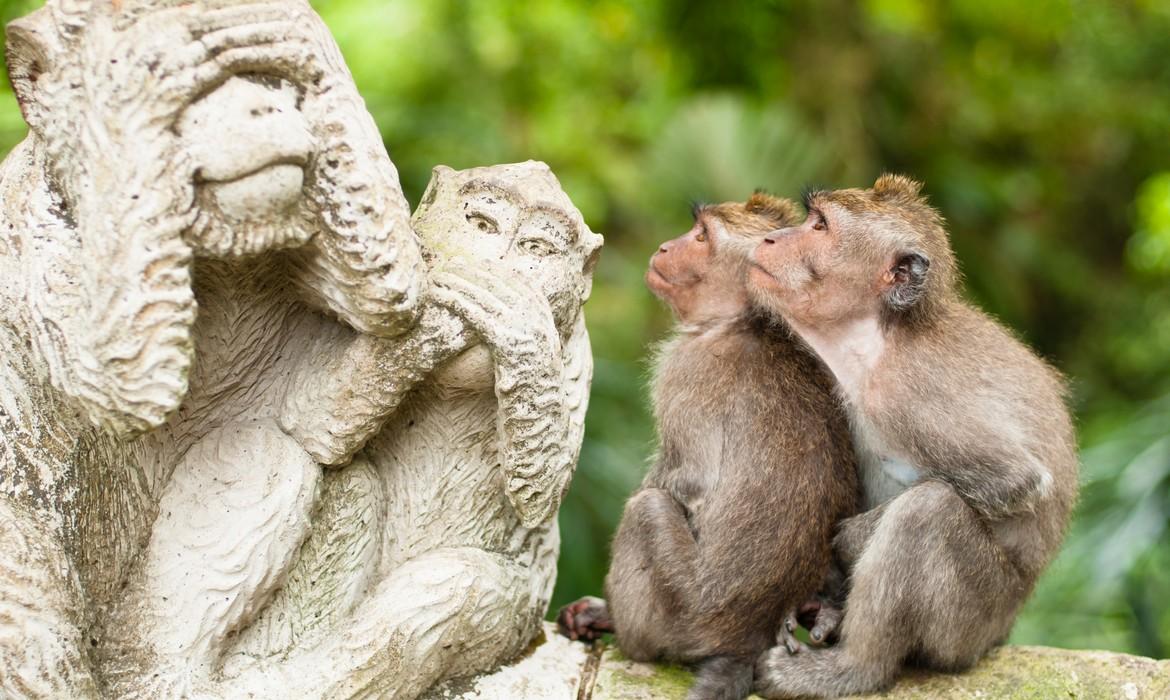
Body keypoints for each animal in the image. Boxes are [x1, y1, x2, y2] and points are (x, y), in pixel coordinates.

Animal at [556, 194, 861, 700]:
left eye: (701, 237)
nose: (665, 246)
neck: (742, 321)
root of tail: (745, 641)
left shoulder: (685, 369)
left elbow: (688, 481)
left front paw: (602, 610)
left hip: (681, 613)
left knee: (648, 509)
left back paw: (622, 628)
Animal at [748, 174, 1076, 697]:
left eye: (819, 226)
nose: (771, 239)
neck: (877, 338)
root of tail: (1001, 632)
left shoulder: (908, 392)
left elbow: (1017, 480)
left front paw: (847, 544)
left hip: (971, 624)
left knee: (927, 512)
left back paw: (851, 669)